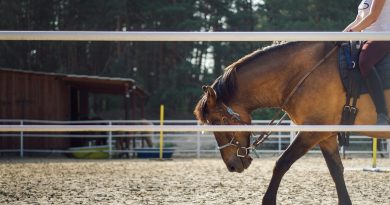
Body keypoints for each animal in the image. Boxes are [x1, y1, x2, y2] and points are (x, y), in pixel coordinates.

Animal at [194, 41, 390, 205]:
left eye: (218, 121)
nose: (232, 165)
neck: (304, 74)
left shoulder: (312, 132)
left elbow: (281, 163)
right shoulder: (325, 136)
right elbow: (336, 171)